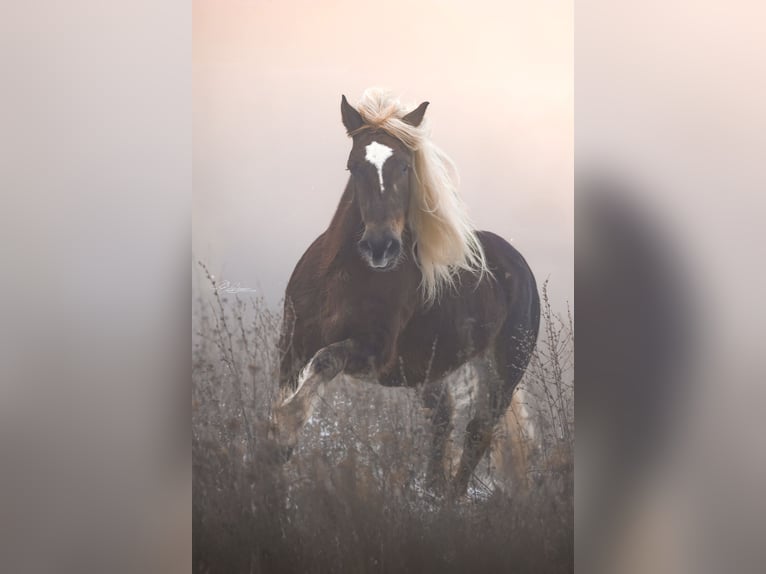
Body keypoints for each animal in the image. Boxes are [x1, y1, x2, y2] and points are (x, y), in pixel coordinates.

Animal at [271, 89, 540, 497]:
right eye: (353, 166)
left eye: (404, 167)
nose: (380, 247)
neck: (338, 281)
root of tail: (518, 264)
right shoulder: (292, 344)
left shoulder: (374, 350)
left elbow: (325, 362)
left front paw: (286, 430)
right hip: (432, 369)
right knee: (443, 419)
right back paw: (430, 492)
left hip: (503, 371)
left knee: (478, 432)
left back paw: (450, 499)